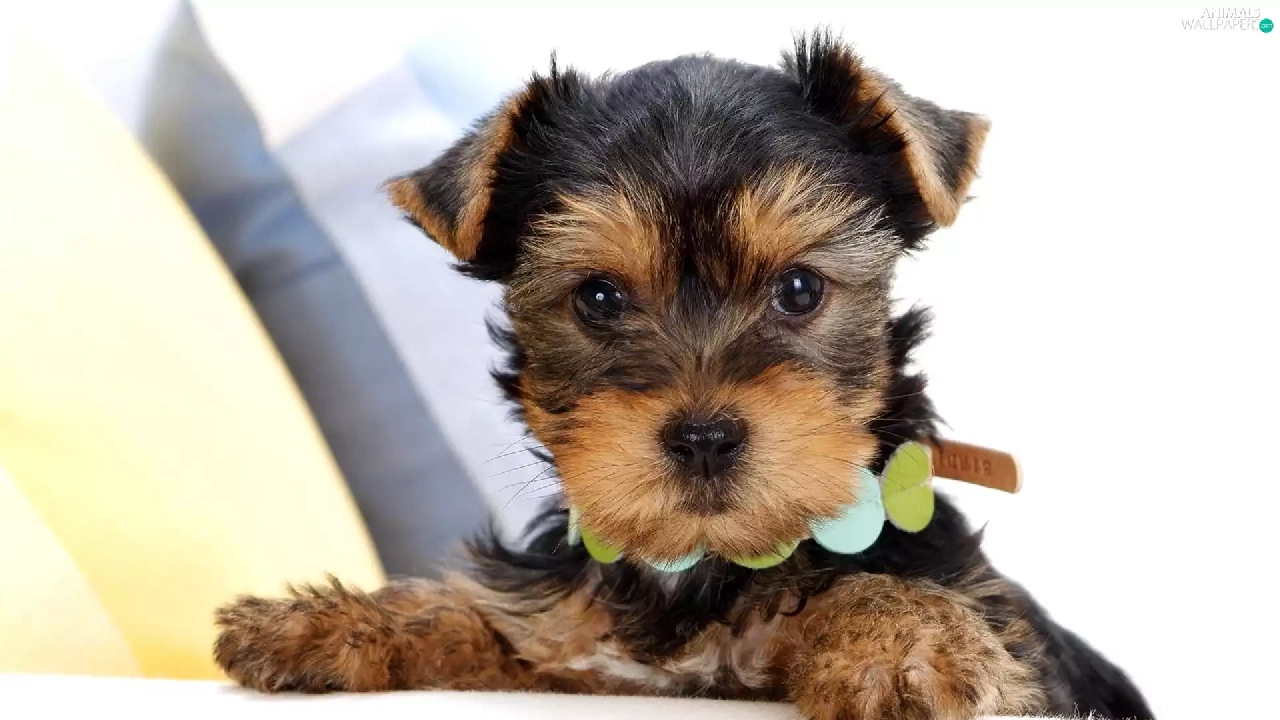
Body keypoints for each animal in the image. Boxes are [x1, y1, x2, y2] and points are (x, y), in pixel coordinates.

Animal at [213, 31, 1154, 720]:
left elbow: (879, 584)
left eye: (800, 290)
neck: (703, 565)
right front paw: (322, 621)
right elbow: (487, 624)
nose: (704, 436)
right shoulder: (579, 652)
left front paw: (911, 651)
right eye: (598, 298)